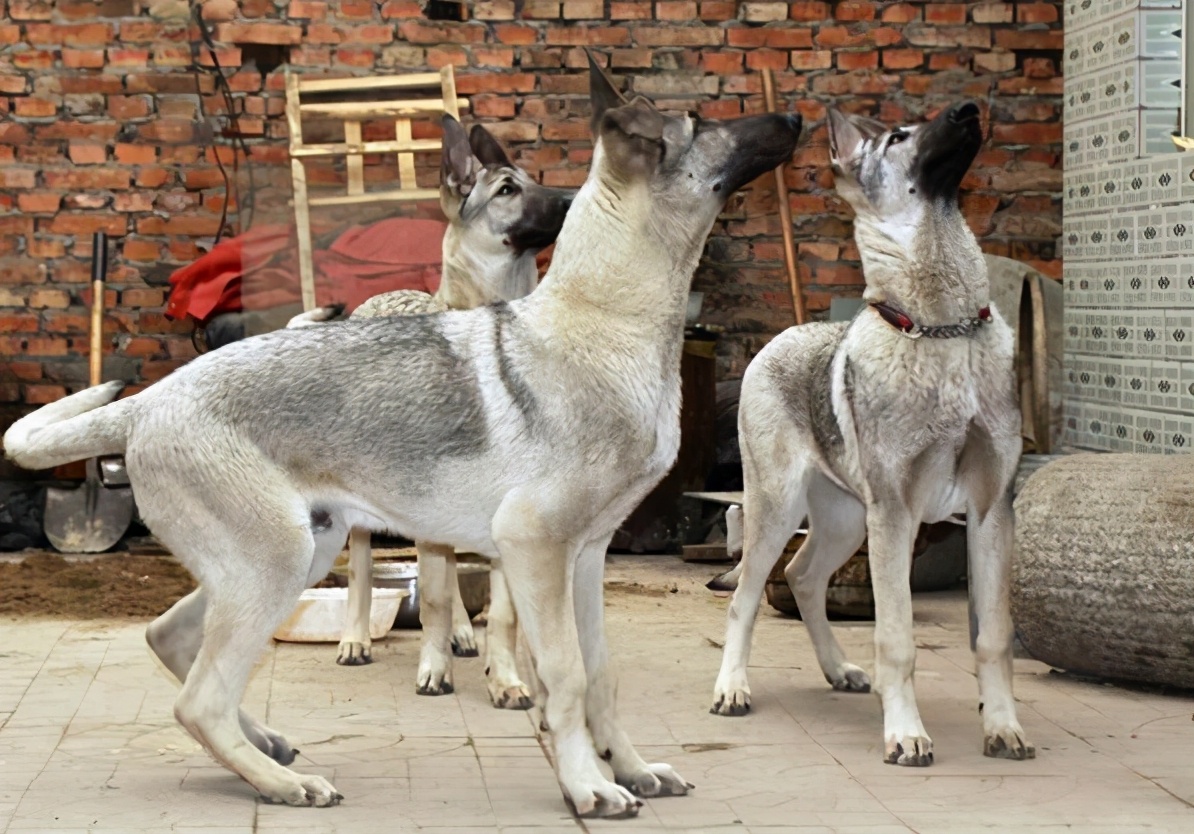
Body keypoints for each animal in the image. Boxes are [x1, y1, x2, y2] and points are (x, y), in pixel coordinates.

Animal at [706, 102, 1036, 764]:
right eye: (900, 137)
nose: (967, 108)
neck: (944, 329)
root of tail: (780, 337)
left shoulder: (990, 513)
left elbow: (992, 637)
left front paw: (1002, 726)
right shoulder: (897, 515)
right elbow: (897, 638)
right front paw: (906, 732)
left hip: (848, 521)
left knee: (803, 577)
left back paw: (839, 670)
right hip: (782, 510)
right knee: (745, 598)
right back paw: (733, 687)